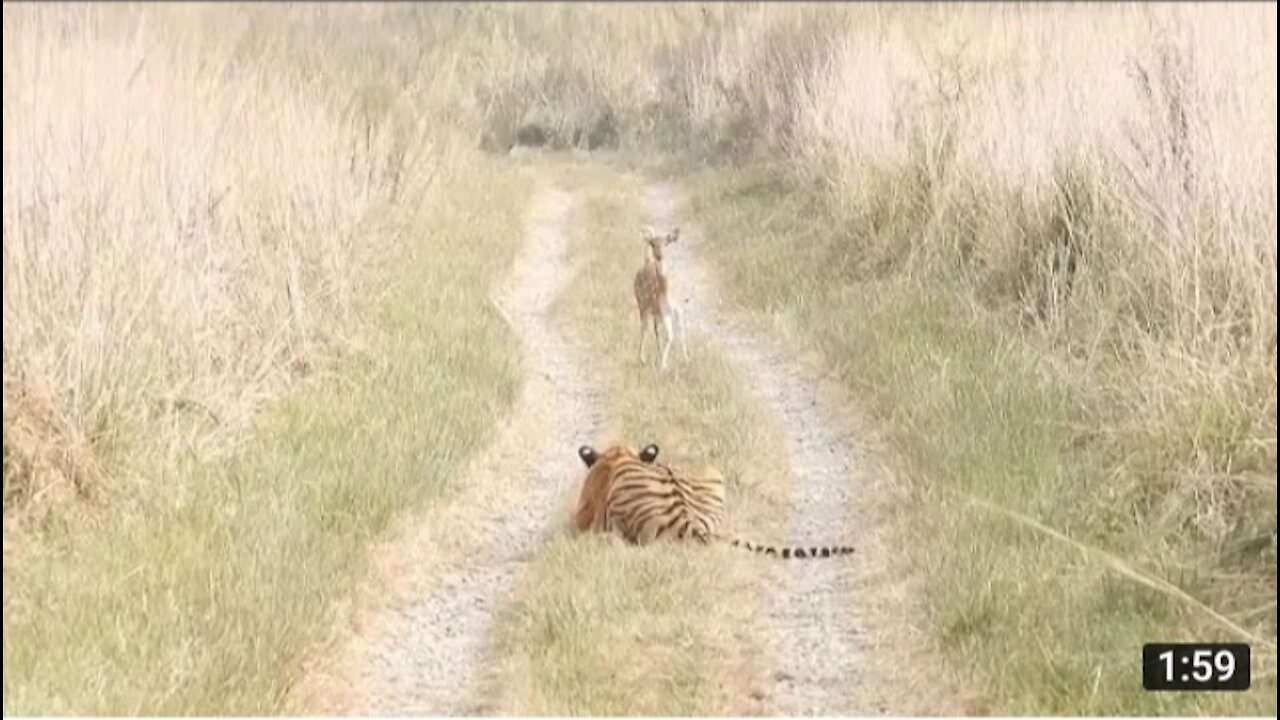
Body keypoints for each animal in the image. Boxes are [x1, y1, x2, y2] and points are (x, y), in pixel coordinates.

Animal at [632, 225, 686, 368]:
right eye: (652, 244)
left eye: (666, 243)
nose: (659, 255)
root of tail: (646, 262)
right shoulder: (664, 310)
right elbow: (670, 336)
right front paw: (663, 366)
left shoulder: (679, 308)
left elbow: (680, 333)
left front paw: (686, 360)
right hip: (642, 304)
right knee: (644, 327)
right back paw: (642, 358)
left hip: (655, 312)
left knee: (655, 329)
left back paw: (656, 357)